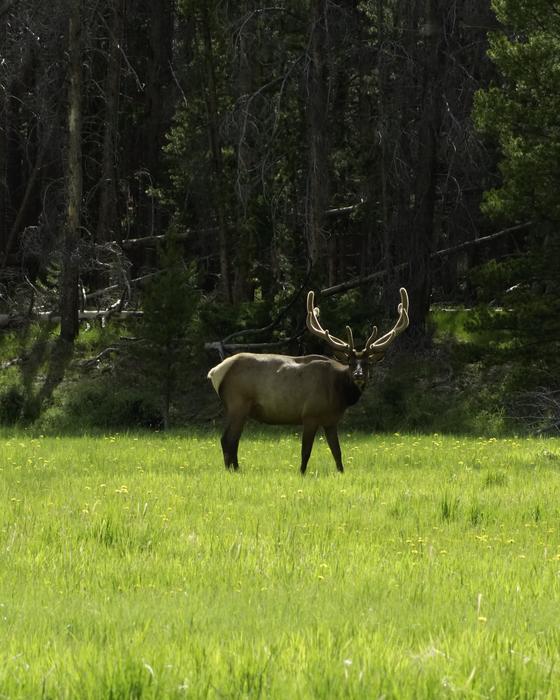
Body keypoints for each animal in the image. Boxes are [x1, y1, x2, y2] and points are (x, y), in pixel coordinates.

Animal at [207, 288, 409, 474]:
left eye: (367, 363)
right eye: (350, 362)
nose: (358, 375)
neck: (339, 393)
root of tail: (215, 371)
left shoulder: (331, 421)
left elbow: (337, 452)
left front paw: (341, 472)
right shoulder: (310, 414)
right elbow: (306, 451)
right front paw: (302, 473)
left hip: (239, 408)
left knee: (232, 440)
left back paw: (234, 469)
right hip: (237, 403)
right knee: (228, 439)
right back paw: (233, 470)